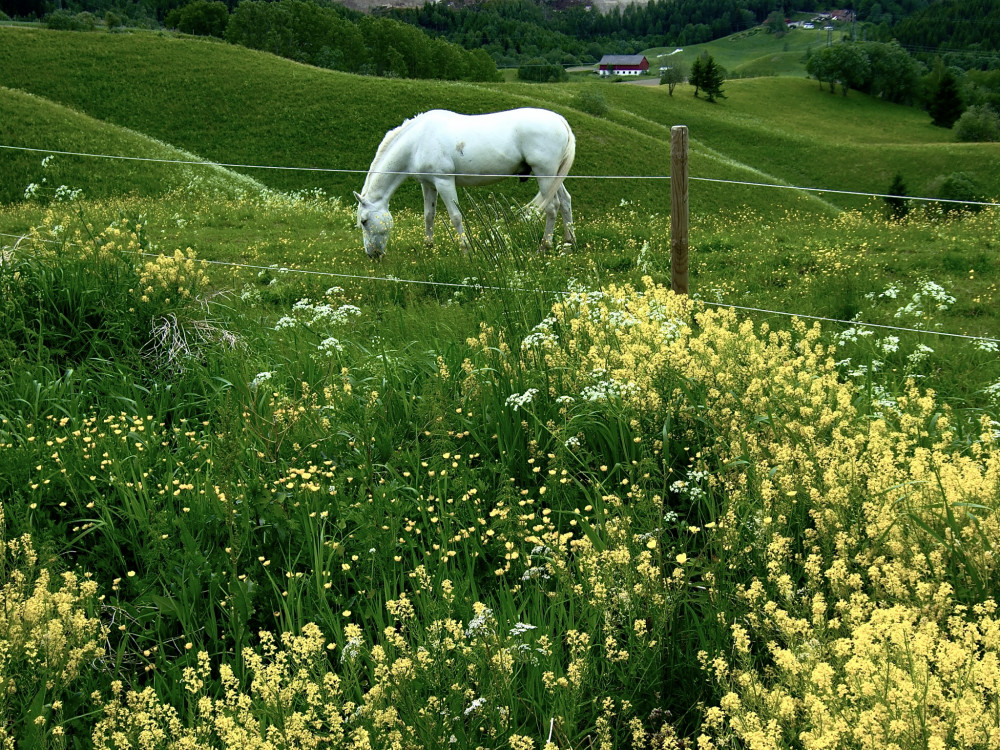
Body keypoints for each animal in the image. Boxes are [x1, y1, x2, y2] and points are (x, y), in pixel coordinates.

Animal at [356, 104, 580, 260]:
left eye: (364, 221)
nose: (372, 254)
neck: (418, 140)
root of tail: (560, 120)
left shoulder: (444, 182)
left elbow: (455, 217)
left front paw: (465, 250)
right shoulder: (428, 184)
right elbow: (429, 215)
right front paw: (429, 246)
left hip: (545, 174)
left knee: (552, 207)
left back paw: (544, 246)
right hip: (554, 177)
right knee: (565, 202)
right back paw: (570, 243)